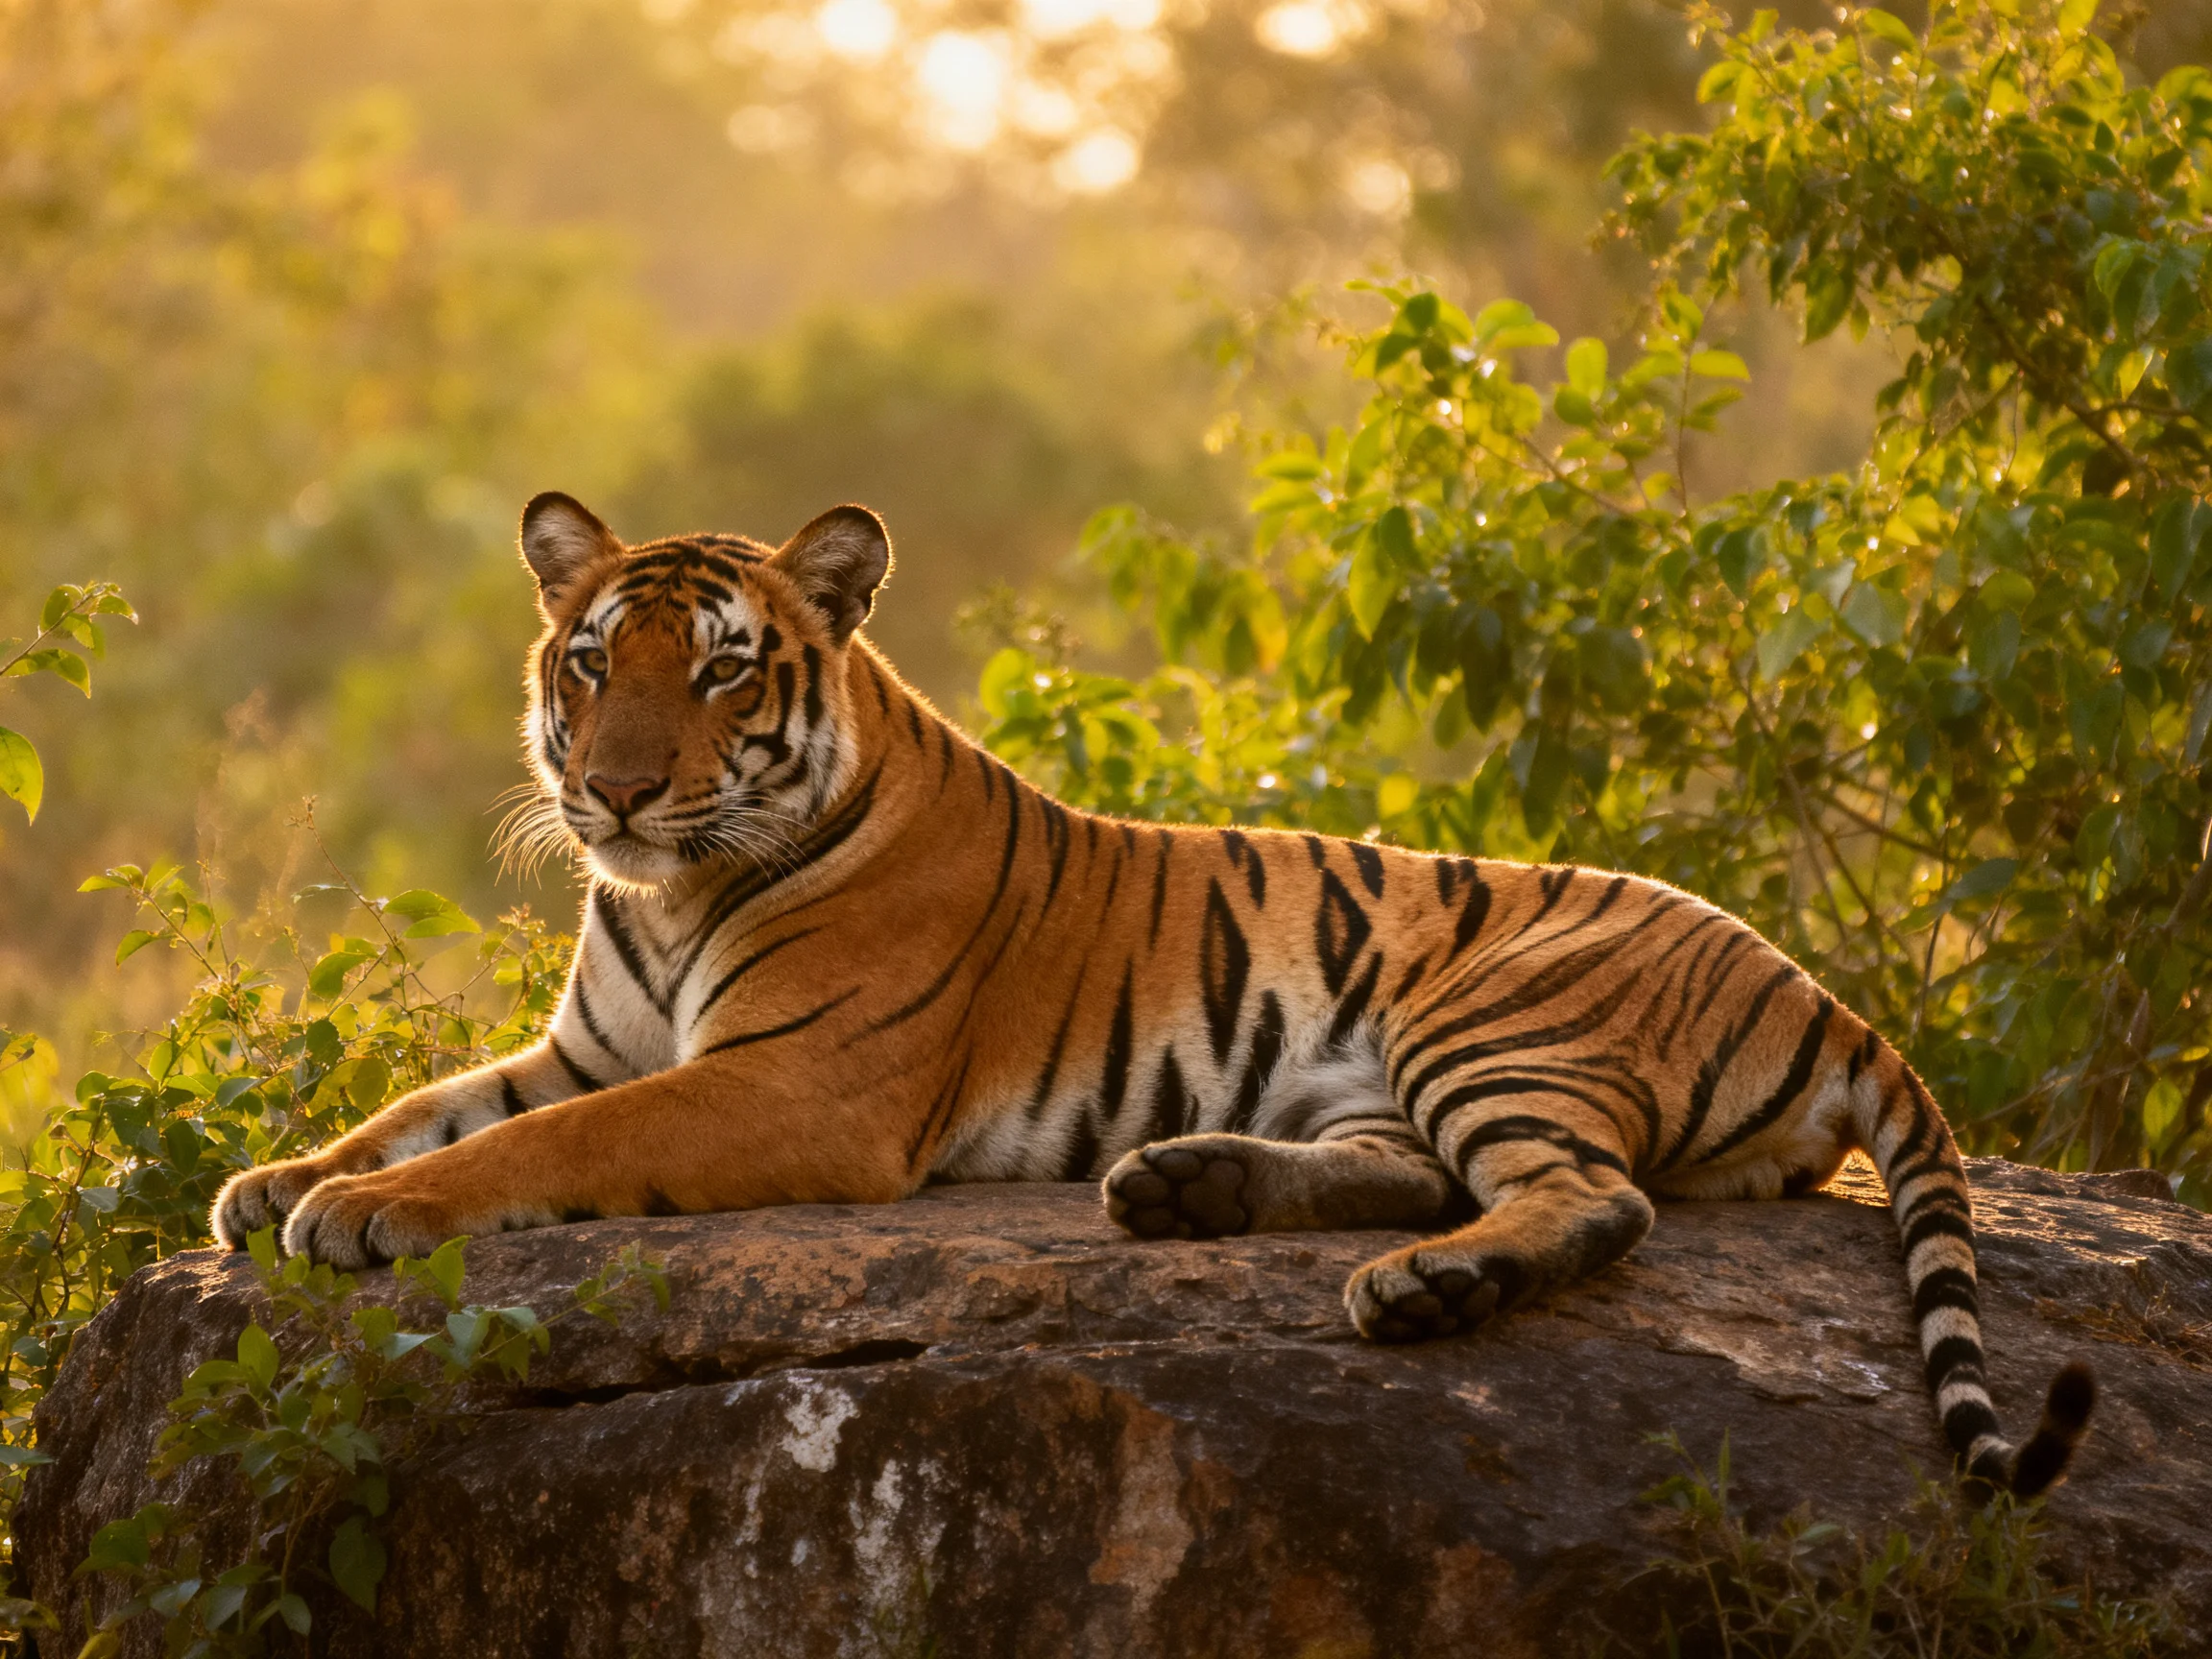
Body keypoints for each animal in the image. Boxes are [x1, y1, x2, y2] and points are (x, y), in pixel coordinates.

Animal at [213, 491, 2095, 1497]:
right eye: (594, 660)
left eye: (727, 670)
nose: (609, 789)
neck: (665, 893)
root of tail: (1820, 988)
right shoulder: (580, 1041)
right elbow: (431, 1104)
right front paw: (276, 1181)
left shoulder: (790, 1081)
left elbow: (531, 1150)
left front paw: (365, 1217)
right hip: (1382, 1076)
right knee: (1428, 1174)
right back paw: (1184, 1185)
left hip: (1487, 1017)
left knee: (1589, 1197)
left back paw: (1416, 1293)